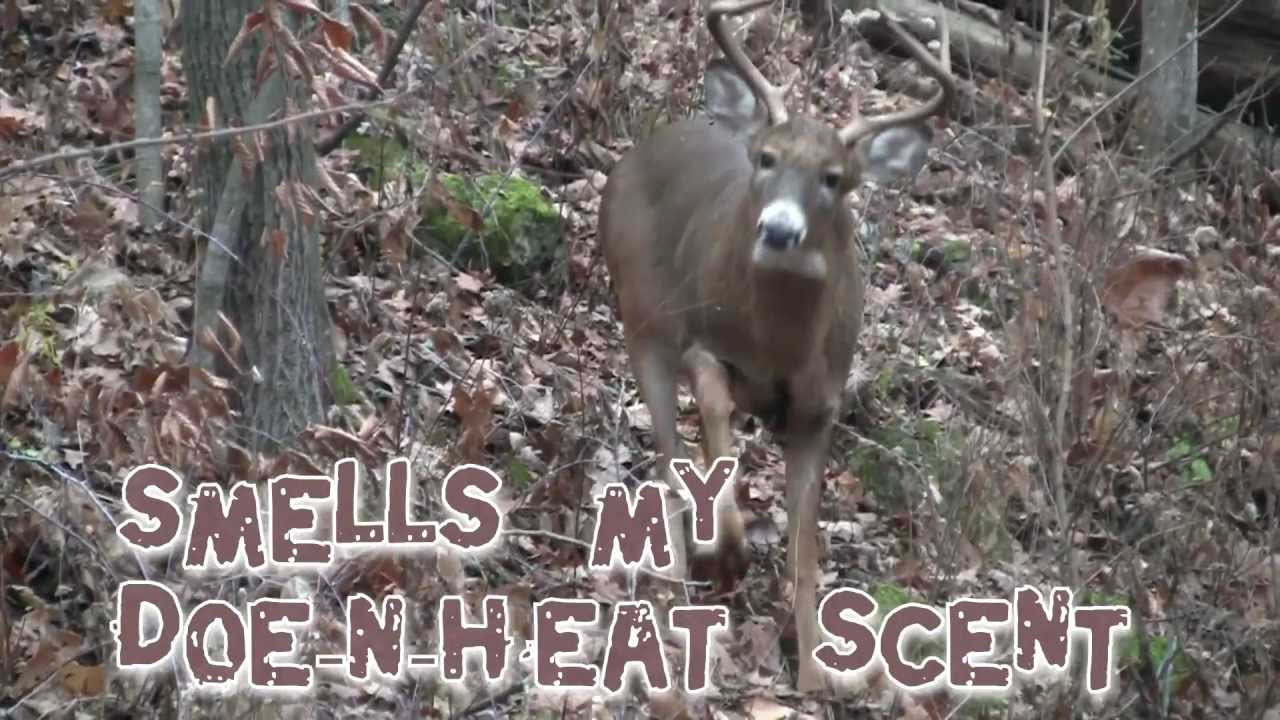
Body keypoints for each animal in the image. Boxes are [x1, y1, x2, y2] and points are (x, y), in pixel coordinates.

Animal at [597, 0, 954, 692]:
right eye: (766, 158)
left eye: (834, 178)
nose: (780, 230)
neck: (779, 345)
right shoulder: (700, 339)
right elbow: (711, 414)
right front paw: (729, 548)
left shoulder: (820, 406)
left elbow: (806, 547)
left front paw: (815, 672)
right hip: (641, 320)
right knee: (667, 453)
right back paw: (680, 580)